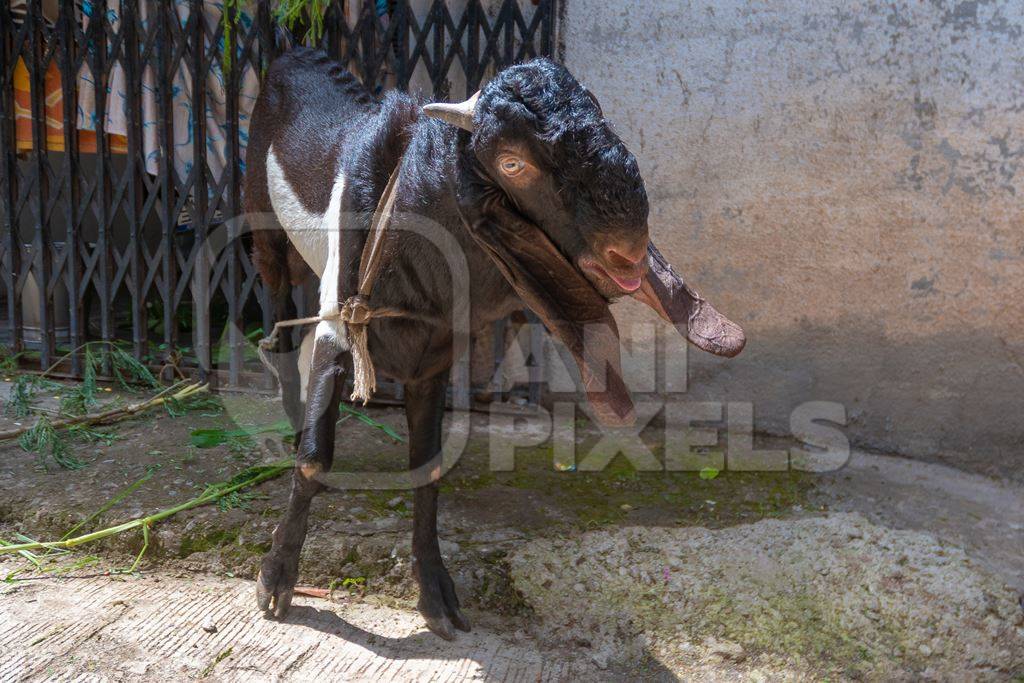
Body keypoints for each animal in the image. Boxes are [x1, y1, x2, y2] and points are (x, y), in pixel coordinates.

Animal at [246, 49, 745, 643]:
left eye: (603, 120)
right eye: (512, 164)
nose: (627, 251)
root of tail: (295, 54)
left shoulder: (434, 356)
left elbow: (428, 467)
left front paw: (435, 594)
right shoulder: (341, 324)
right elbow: (314, 460)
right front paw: (276, 577)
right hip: (265, 235)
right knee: (280, 332)